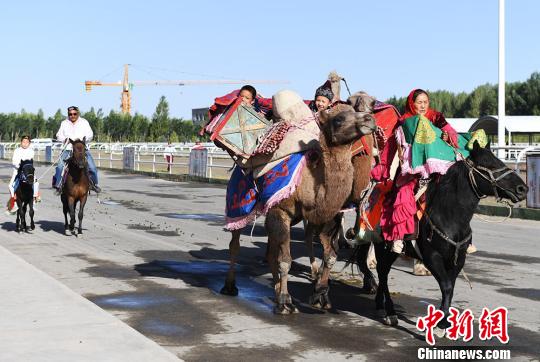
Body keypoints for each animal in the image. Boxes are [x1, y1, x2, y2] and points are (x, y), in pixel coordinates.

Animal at [372, 140, 528, 332]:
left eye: (499, 161)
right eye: (489, 164)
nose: (522, 188)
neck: (450, 216)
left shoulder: (458, 258)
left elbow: (450, 287)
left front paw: (444, 321)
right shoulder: (432, 257)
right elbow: (446, 286)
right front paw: (440, 324)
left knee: (383, 273)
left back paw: (380, 305)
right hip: (383, 247)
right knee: (383, 272)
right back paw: (390, 312)